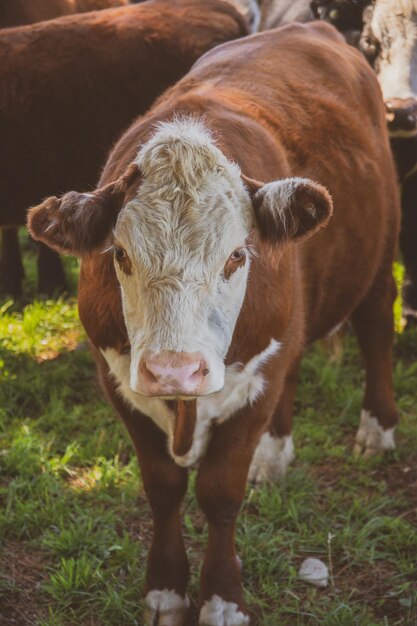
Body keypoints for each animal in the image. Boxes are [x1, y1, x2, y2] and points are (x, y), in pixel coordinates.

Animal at [28, 20, 400, 624]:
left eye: (237, 256)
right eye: (120, 255)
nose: (174, 372)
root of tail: (310, 25)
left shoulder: (254, 385)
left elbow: (220, 492)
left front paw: (223, 598)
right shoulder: (117, 378)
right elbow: (163, 487)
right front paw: (166, 590)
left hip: (379, 251)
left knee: (375, 328)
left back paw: (376, 429)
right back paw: (273, 457)